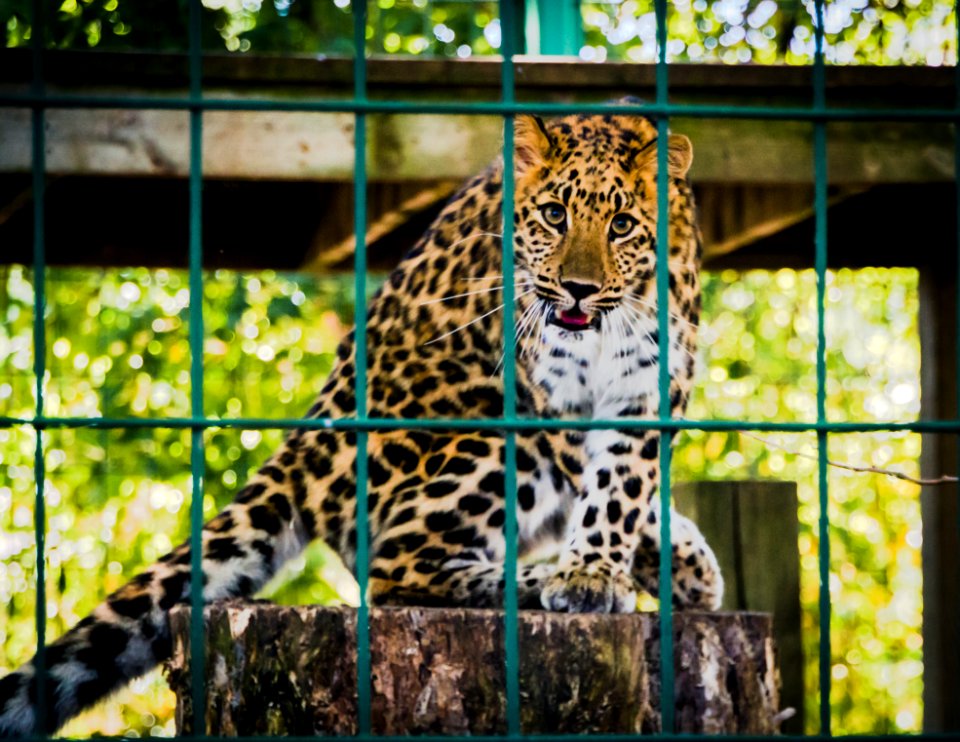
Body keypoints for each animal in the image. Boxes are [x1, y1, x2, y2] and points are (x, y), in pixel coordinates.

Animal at [0, 106, 720, 740]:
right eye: (554, 214)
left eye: (622, 225)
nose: (576, 289)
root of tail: (303, 444)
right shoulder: (550, 399)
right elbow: (607, 488)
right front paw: (594, 576)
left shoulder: (649, 385)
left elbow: (628, 483)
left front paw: (657, 566)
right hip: (485, 436)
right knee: (394, 563)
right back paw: (534, 581)